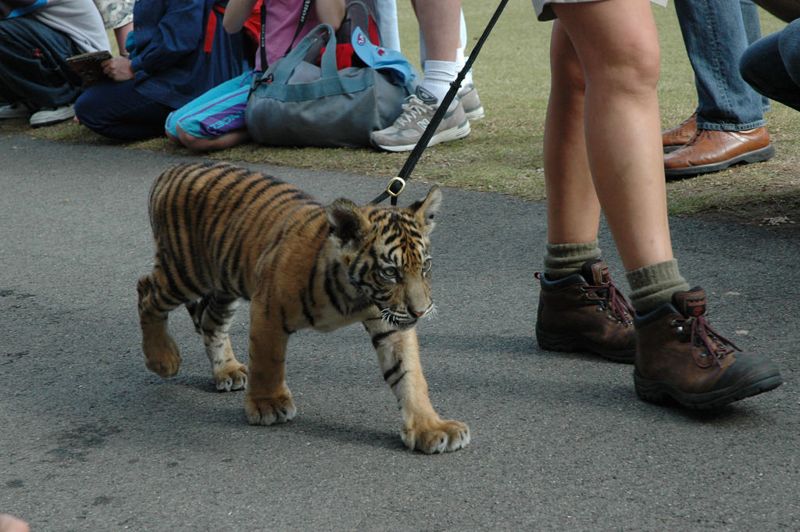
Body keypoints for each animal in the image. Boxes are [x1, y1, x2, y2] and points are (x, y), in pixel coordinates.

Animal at [136, 162, 470, 454]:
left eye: (425, 267)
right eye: (390, 272)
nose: (420, 312)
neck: (356, 296)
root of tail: (172, 169)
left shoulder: (391, 324)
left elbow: (410, 376)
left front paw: (431, 428)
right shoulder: (268, 308)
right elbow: (268, 361)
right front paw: (268, 404)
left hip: (225, 282)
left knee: (210, 322)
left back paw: (226, 371)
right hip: (186, 272)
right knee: (146, 291)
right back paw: (163, 359)